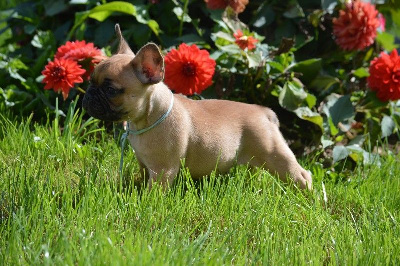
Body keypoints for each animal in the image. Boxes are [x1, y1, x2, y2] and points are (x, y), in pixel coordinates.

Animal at [83, 24, 312, 189]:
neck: (147, 118)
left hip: (274, 154)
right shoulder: (144, 164)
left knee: (302, 175)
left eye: (111, 90)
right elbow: (142, 177)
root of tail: (264, 112)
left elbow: (153, 192)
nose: (89, 95)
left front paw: (144, 204)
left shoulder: (162, 170)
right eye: (90, 81)